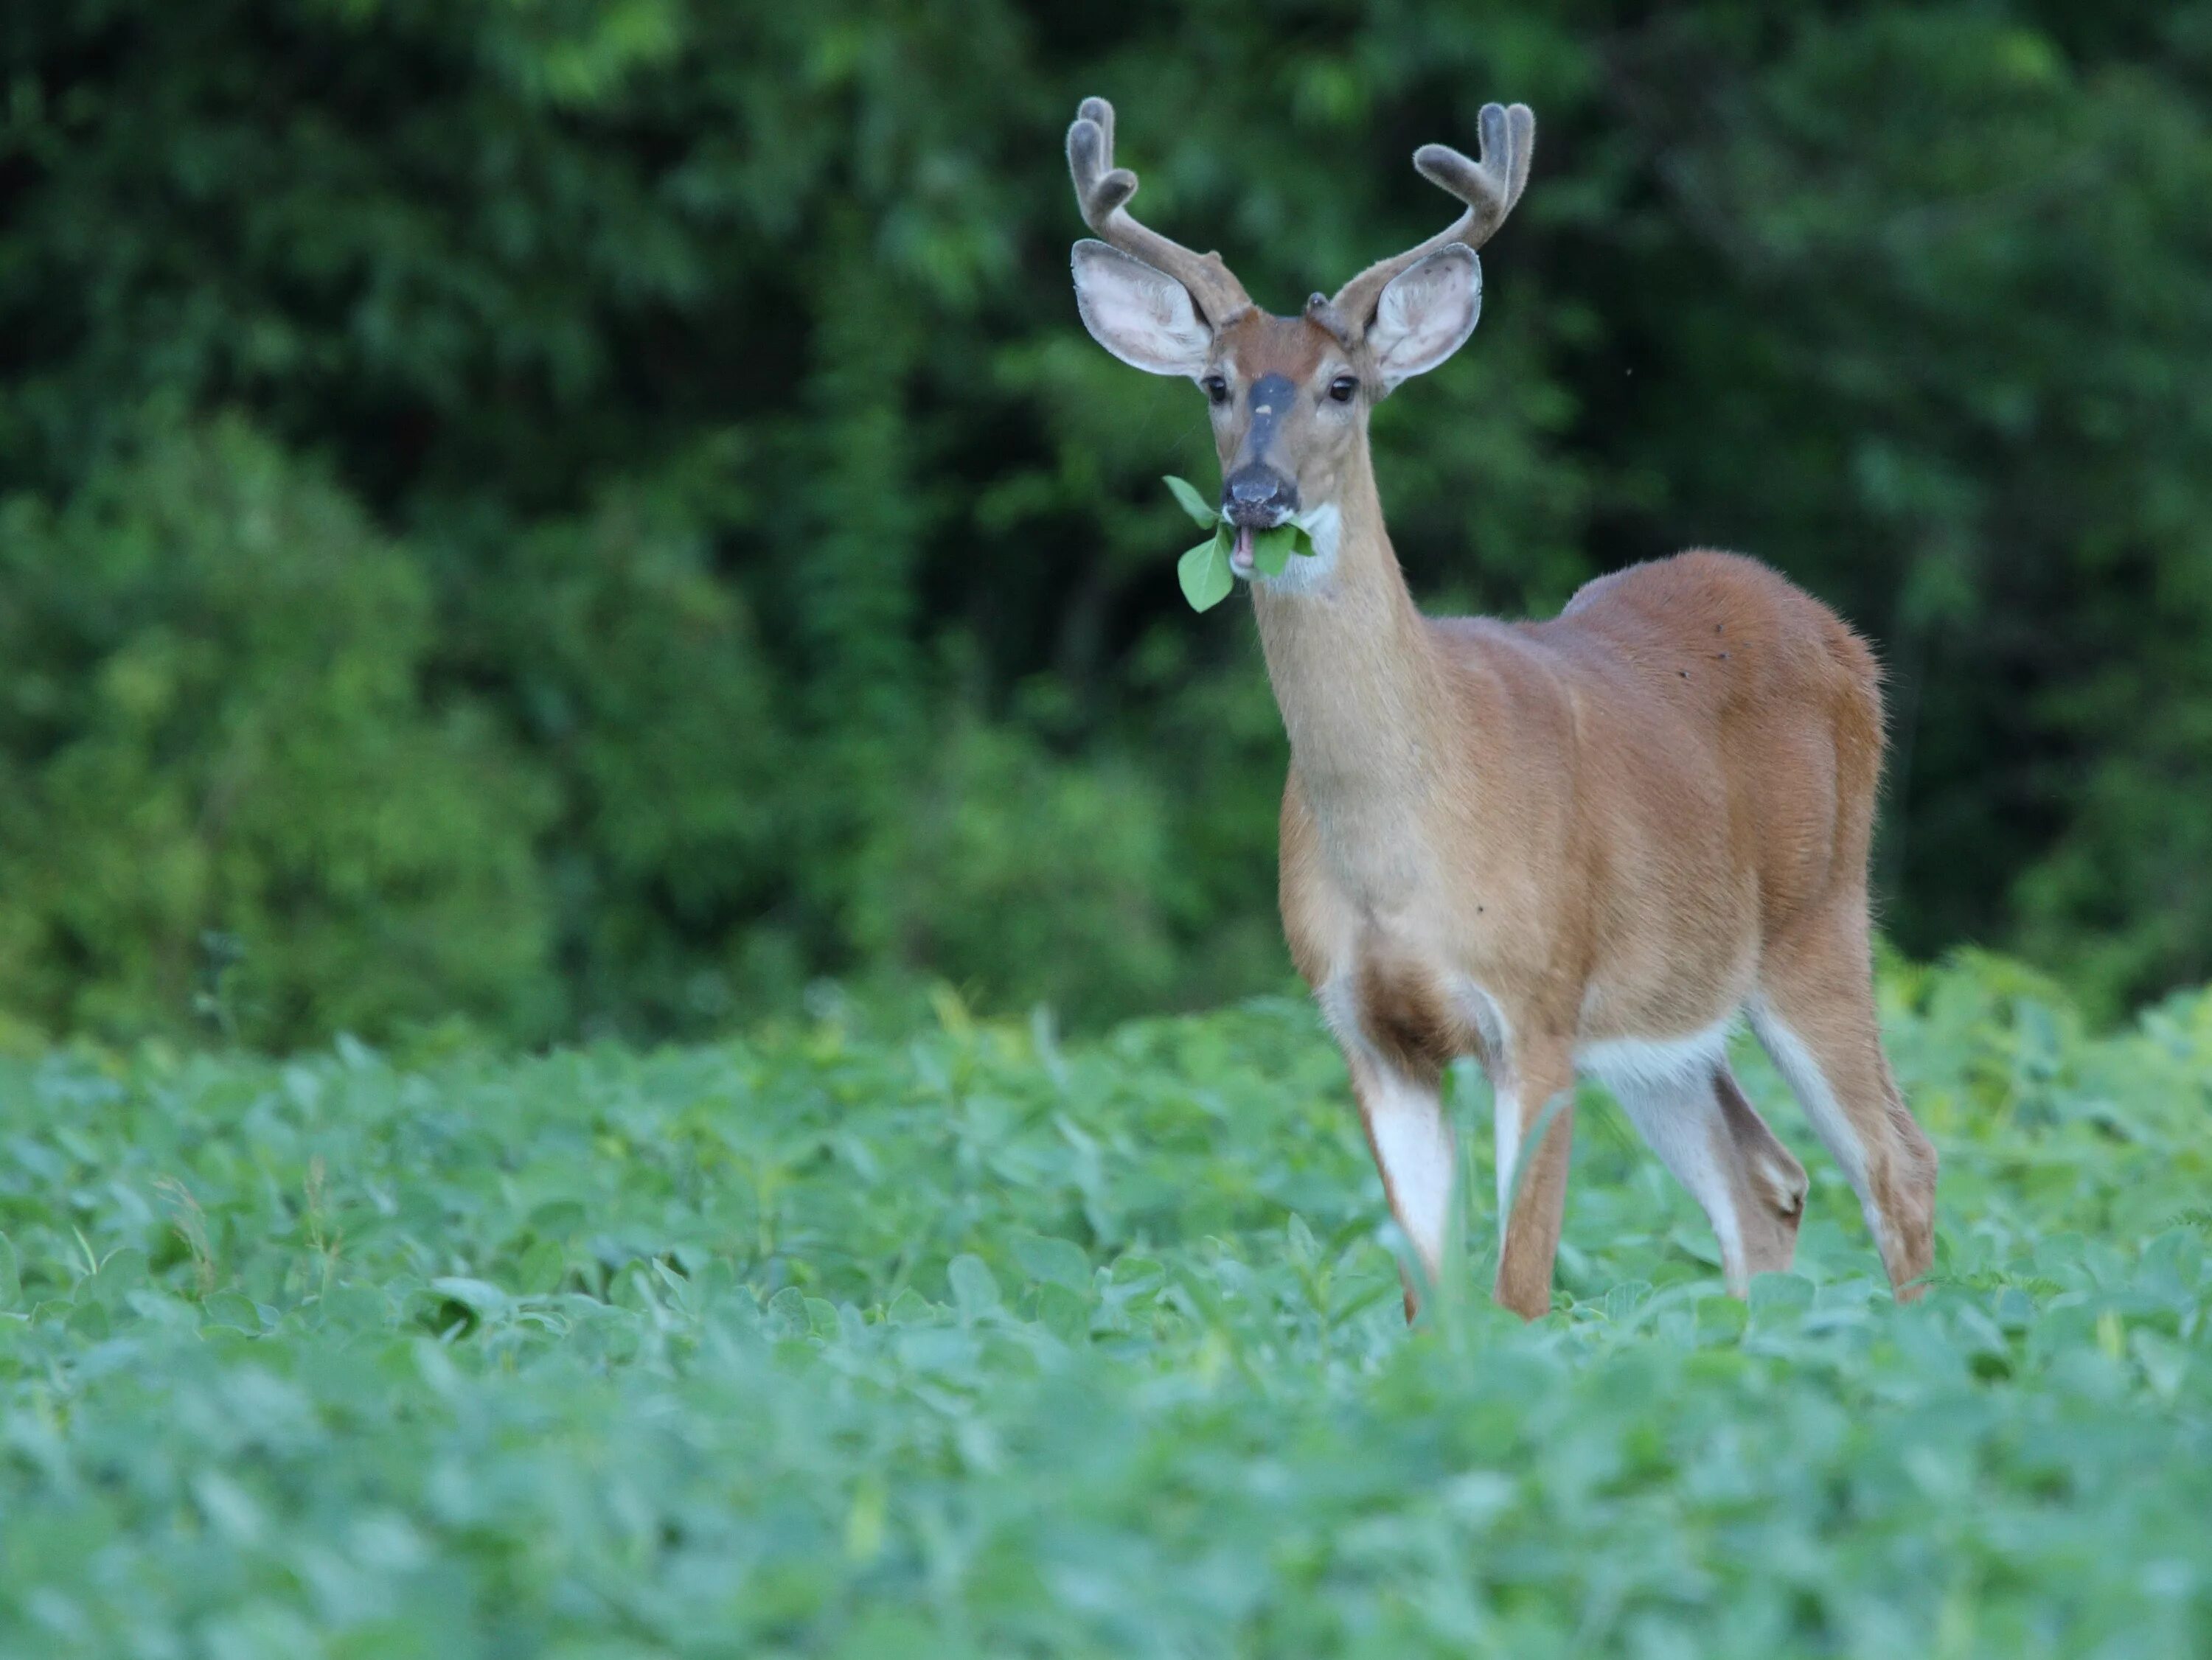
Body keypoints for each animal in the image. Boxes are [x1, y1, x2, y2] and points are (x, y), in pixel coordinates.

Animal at [1062, 97, 1947, 1326]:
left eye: (1343, 386)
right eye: (1216, 385)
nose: (1255, 498)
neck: (1404, 840)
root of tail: (1842, 639)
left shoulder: (1536, 1002)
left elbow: (1519, 1286)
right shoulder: (1366, 1026)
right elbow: (1429, 1297)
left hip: (1819, 916)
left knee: (1896, 1163)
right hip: (1665, 1012)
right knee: (1765, 1179)